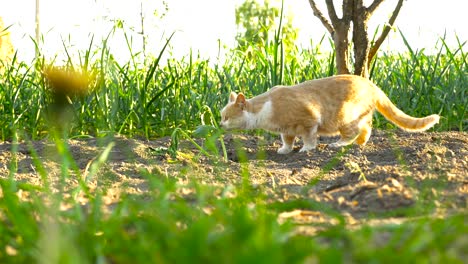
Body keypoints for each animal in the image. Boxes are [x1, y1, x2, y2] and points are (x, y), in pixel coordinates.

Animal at [219, 73, 438, 155]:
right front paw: (285, 150)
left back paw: (339, 144)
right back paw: (360, 144)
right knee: (367, 128)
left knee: (353, 132)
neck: (266, 108)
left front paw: (306, 149)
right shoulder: (287, 130)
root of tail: (370, 83)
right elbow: (287, 140)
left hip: (345, 116)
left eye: (226, 117)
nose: (220, 124)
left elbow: (309, 138)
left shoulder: (309, 121)